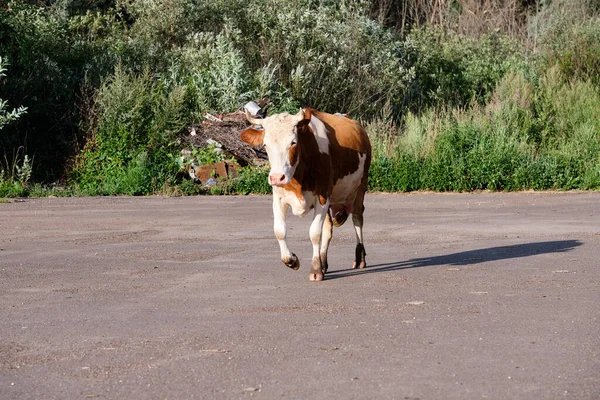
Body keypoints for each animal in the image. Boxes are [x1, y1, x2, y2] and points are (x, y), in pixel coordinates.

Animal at [239, 107, 370, 282]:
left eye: (293, 142)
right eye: (265, 144)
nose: (277, 177)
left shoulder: (322, 196)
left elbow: (314, 233)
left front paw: (315, 269)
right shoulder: (278, 198)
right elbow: (279, 231)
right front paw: (292, 260)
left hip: (360, 187)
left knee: (357, 219)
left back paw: (359, 258)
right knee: (328, 229)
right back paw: (323, 262)